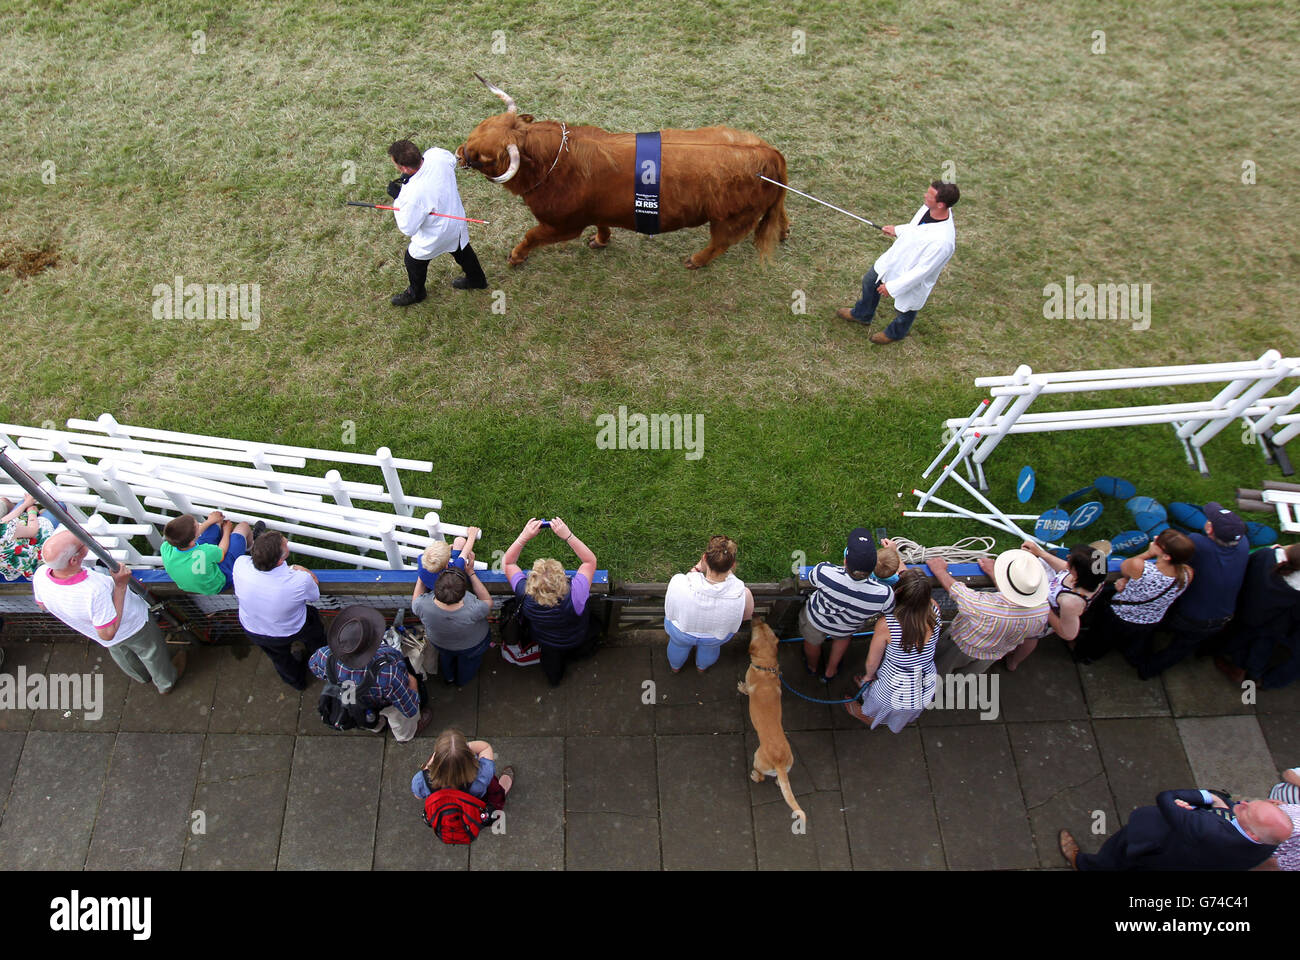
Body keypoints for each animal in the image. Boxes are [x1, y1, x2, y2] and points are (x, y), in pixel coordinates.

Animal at [743, 621, 800, 822]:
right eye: (765, 627)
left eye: (755, 631)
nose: (756, 617)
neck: (766, 667)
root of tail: (780, 764)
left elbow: (745, 688)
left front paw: (741, 688)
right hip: (789, 766)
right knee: (780, 782)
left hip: (757, 759)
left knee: (760, 777)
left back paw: (754, 776)